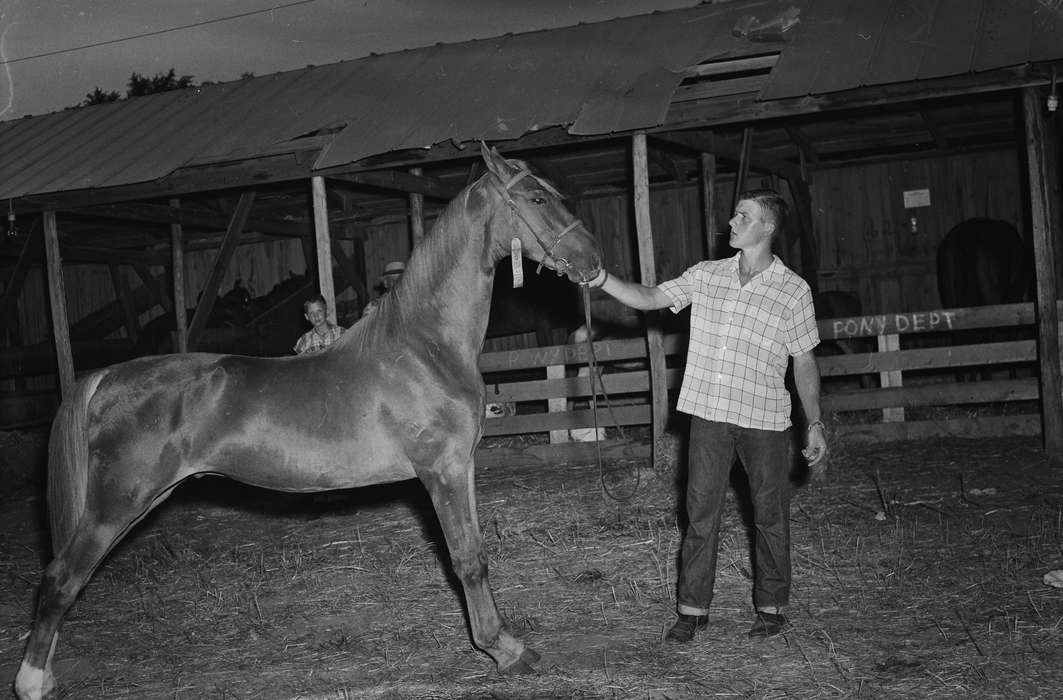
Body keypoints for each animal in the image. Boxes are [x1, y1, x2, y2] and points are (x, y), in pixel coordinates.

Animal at [14, 143, 602, 700]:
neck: (423, 348)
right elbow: (467, 560)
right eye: (538, 198)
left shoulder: (462, 469)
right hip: (116, 503)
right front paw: (504, 651)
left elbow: (475, 552)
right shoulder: (443, 470)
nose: (593, 263)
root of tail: (107, 376)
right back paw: (31, 682)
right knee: (61, 578)